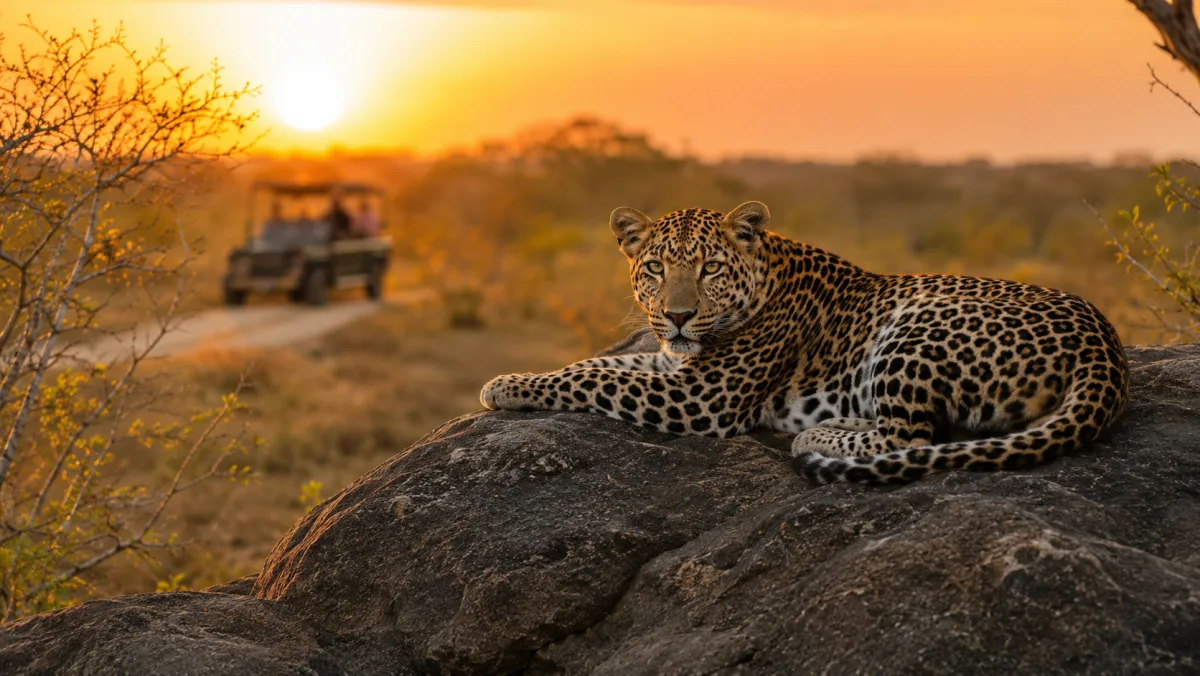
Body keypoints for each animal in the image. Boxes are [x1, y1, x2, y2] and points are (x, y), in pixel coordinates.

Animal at [480, 201, 1129, 485]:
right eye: (656, 269)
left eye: (710, 268)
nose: (679, 315)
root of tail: (1106, 347)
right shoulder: (677, 365)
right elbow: (601, 363)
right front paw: (515, 379)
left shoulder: (704, 397)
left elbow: (596, 376)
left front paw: (504, 385)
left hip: (917, 325)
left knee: (911, 436)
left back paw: (816, 435)